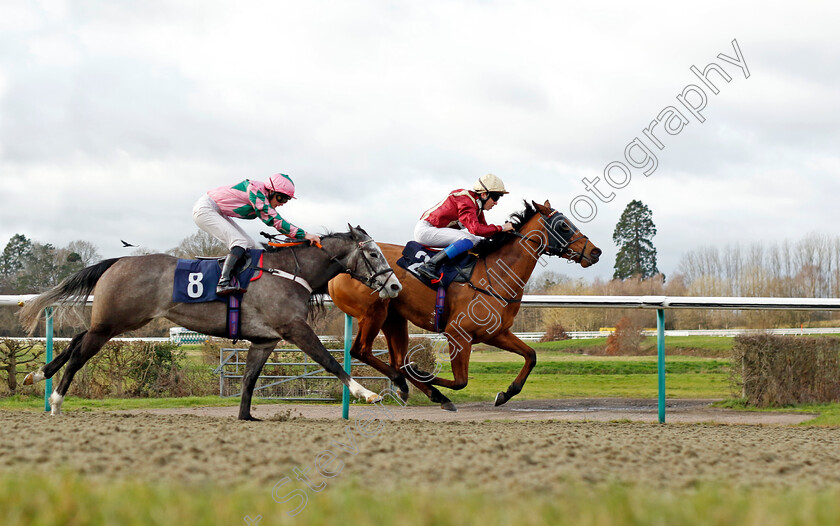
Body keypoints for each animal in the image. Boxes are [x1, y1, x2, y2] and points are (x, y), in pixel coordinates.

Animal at [18, 225, 400, 422]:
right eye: (372, 253)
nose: (395, 286)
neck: (289, 271)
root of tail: (118, 261)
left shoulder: (265, 340)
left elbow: (249, 379)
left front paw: (246, 417)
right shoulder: (295, 329)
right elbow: (330, 361)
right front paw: (366, 393)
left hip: (119, 320)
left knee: (77, 339)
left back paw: (36, 375)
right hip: (114, 323)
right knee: (80, 352)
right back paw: (56, 400)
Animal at [326, 202, 596, 412]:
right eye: (563, 226)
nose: (596, 252)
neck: (495, 274)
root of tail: (338, 268)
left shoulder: (495, 333)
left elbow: (531, 355)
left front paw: (505, 393)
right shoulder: (458, 334)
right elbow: (460, 381)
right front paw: (425, 375)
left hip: (394, 319)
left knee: (398, 361)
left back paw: (417, 388)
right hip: (374, 313)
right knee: (362, 351)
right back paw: (414, 387)